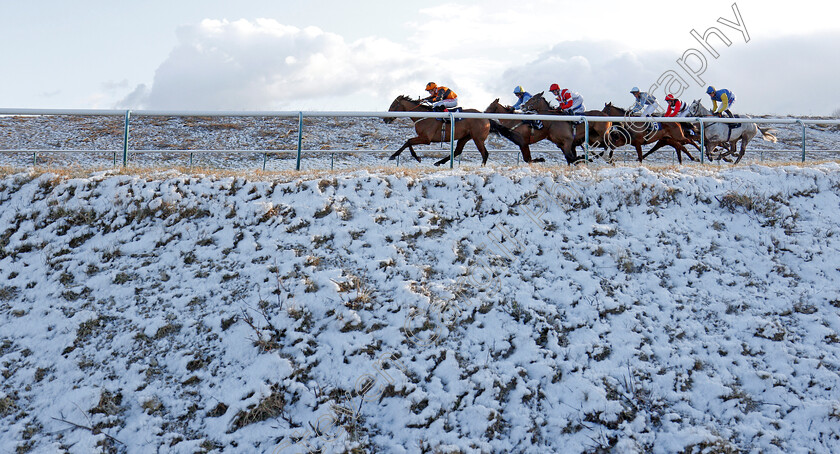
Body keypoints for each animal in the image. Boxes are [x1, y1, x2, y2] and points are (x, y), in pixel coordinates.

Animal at [382, 95, 524, 167]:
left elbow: (409, 141)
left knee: (485, 153)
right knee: (457, 151)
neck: (423, 115)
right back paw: (439, 162)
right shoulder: (423, 138)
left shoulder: (426, 138)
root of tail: (486, 118)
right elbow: (408, 142)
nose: (385, 119)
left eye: (393, 105)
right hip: (465, 137)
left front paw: (402, 156)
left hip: (477, 138)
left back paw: (481, 166)